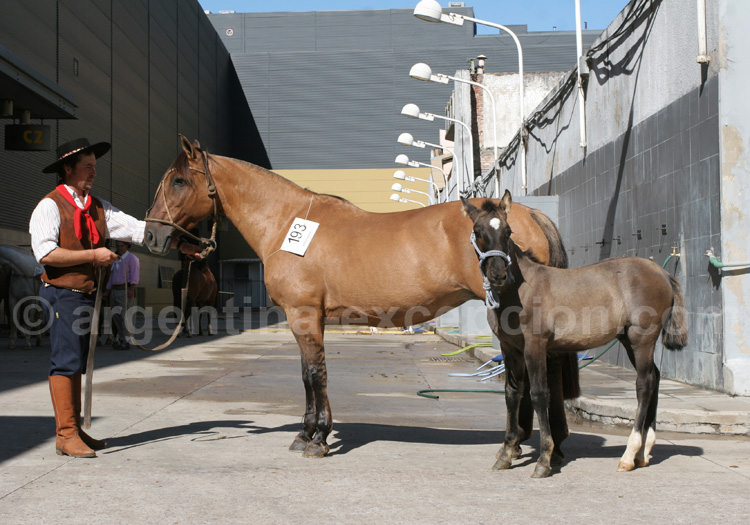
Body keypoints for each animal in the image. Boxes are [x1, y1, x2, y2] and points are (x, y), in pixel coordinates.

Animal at [144, 135, 579, 459]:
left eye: (178, 181)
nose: (151, 234)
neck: (286, 223)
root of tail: (529, 213)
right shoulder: (308, 319)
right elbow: (306, 374)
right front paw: (305, 433)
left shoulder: (304, 315)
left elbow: (315, 374)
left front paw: (317, 438)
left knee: (530, 372)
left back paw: (525, 444)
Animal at [462, 193, 688, 477]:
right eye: (477, 231)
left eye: (508, 231)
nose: (498, 274)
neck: (519, 290)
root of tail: (662, 272)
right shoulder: (510, 348)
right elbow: (512, 393)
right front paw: (505, 454)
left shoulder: (535, 346)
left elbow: (539, 394)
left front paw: (544, 460)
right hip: (628, 339)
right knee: (655, 378)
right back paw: (644, 453)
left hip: (642, 338)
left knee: (644, 384)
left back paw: (629, 454)